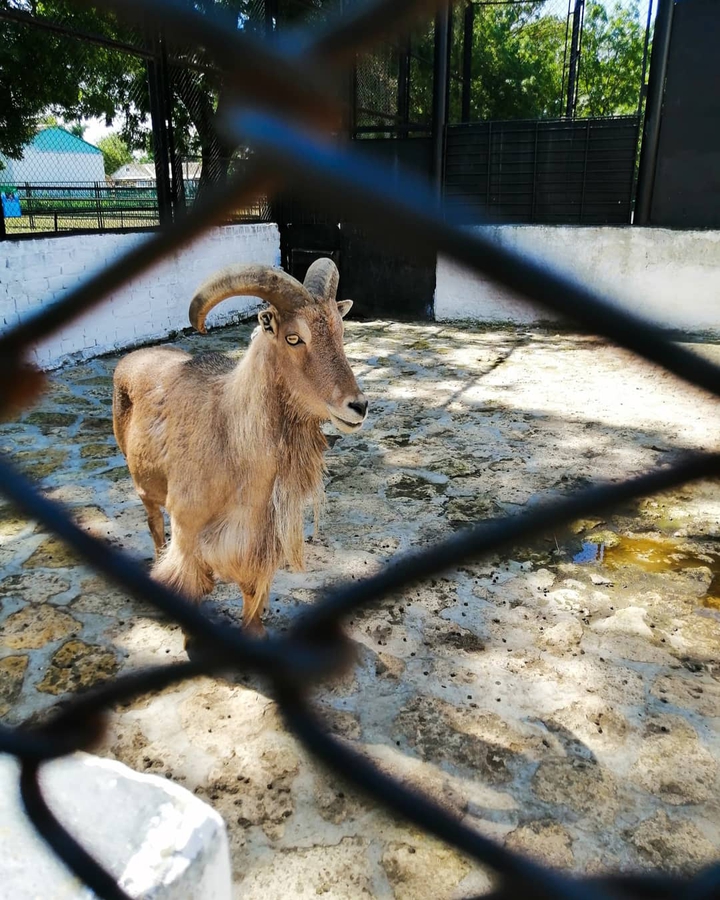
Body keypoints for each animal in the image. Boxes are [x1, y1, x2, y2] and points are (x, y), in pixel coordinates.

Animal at [112, 258, 368, 642]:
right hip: (144, 488)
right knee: (155, 528)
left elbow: (252, 604)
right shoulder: (188, 540)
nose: (358, 406)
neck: (231, 448)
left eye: (340, 332)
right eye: (294, 338)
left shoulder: (258, 550)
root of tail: (133, 357)